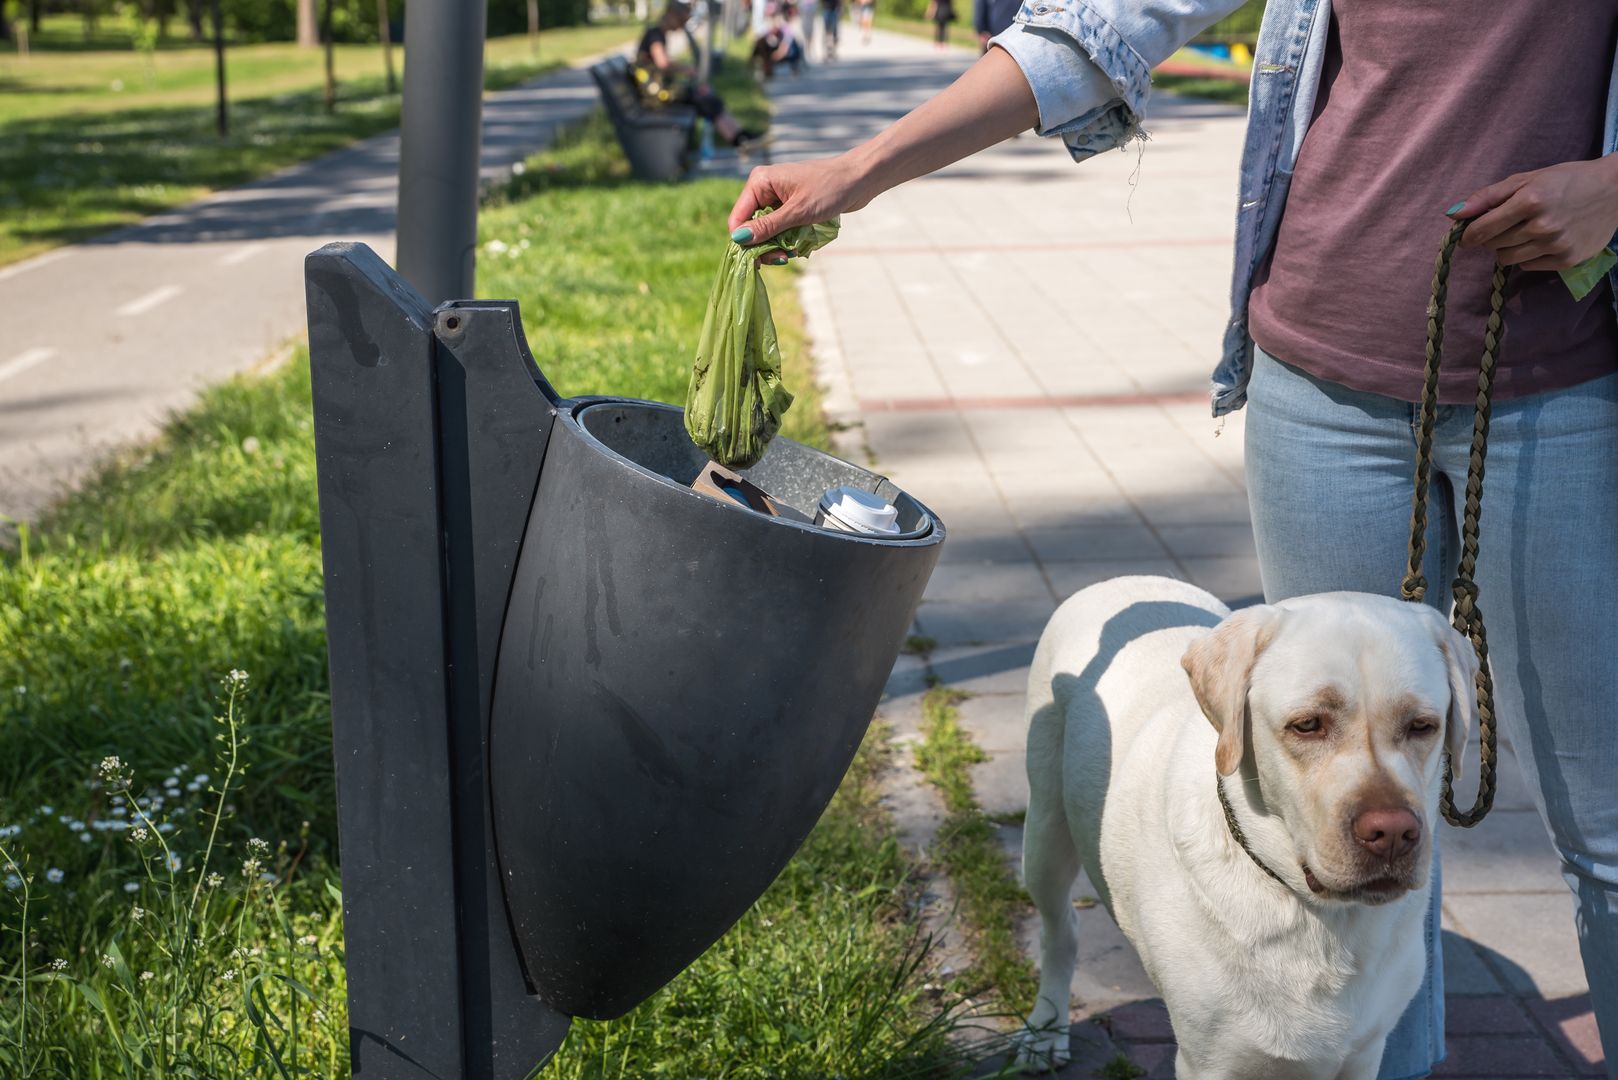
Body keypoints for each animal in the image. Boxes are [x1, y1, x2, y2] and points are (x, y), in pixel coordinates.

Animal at [1022, 579, 1482, 1075]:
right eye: (1307, 724)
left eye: (1422, 726)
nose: (1393, 834)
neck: (1316, 915)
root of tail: (1121, 580)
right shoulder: (1210, 1062)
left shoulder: (1363, 1052)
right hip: (1044, 831)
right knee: (1060, 927)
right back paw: (1046, 1028)